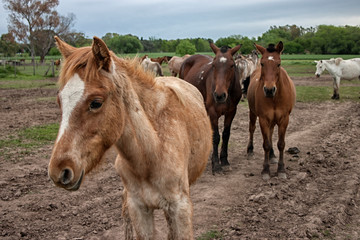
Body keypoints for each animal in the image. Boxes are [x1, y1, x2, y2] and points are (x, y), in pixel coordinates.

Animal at [47, 36, 211, 240]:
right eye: (59, 101)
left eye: (96, 103)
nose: (59, 171)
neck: (152, 152)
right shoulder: (139, 209)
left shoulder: (180, 209)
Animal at [180, 43, 242, 173]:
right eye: (213, 65)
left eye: (232, 65)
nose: (219, 95)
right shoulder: (213, 113)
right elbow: (216, 137)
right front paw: (216, 164)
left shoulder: (231, 112)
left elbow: (226, 135)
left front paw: (224, 161)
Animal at [246, 41, 296, 180]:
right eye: (263, 63)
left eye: (278, 64)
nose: (269, 90)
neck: (275, 97)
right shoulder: (263, 119)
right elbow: (266, 144)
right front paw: (265, 170)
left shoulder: (284, 119)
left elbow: (281, 144)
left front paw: (281, 169)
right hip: (253, 113)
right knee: (252, 129)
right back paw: (250, 150)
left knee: (271, 132)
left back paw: (272, 155)